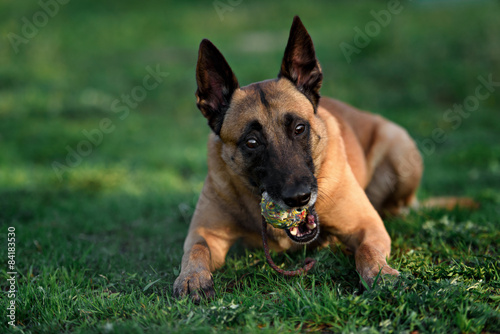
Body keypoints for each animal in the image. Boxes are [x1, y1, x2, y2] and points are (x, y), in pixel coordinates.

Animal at [172, 16, 422, 302]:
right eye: (251, 142)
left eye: (299, 128)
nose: (299, 197)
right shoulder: (204, 233)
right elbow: (196, 249)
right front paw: (191, 278)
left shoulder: (367, 225)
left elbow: (367, 250)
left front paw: (382, 275)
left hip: (400, 148)